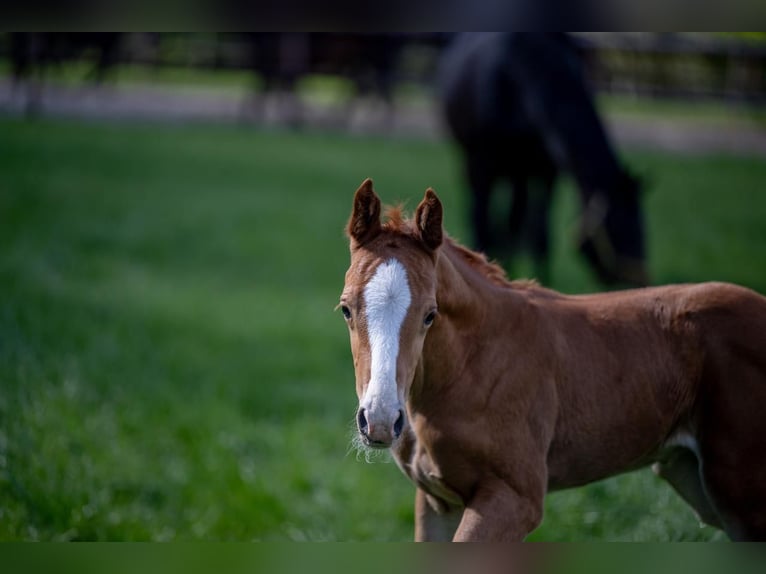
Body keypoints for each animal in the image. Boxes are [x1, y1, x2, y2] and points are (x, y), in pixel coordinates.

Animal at [340, 179, 766, 540]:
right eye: (345, 309)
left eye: (431, 314)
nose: (380, 420)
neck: (471, 366)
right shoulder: (436, 503)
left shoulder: (515, 498)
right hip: (695, 479)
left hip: (740, 489)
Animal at [438, 32, 648, 288]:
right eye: (619, 229)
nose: (640, 281)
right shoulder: (483, 164)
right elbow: (484, 225)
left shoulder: (546, 172)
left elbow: (539, 234)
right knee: (484, 218)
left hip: (517, 174)